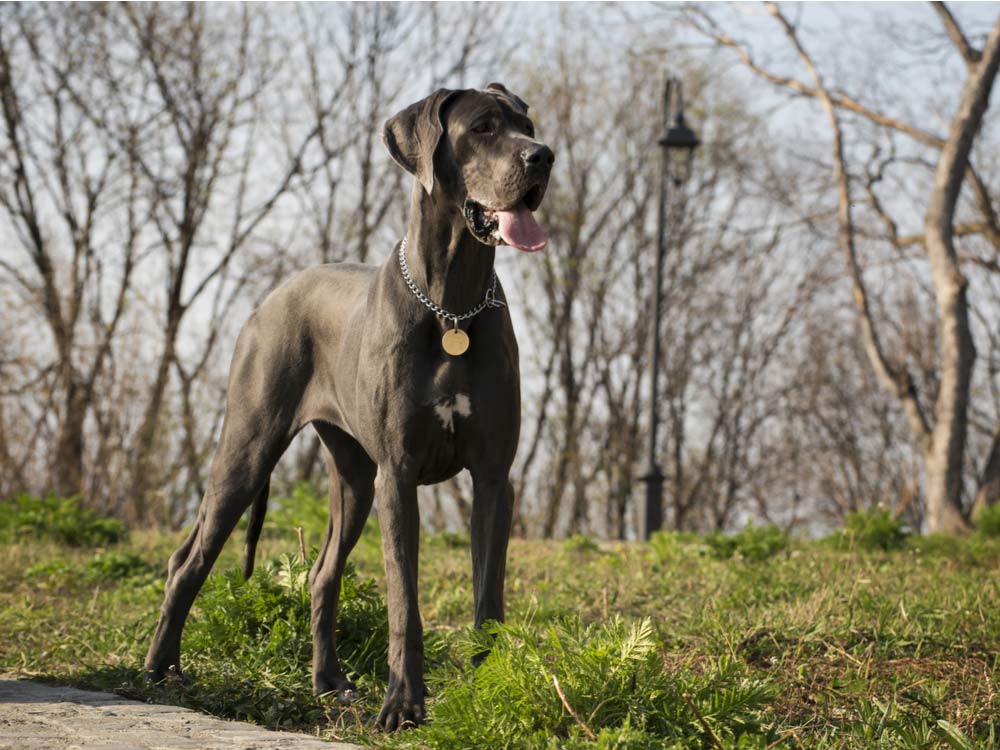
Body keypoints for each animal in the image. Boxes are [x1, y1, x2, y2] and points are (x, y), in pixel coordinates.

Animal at [143, 83, 556, 736]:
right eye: (485, 128)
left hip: (354, 479)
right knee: (188, 560)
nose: (543, 157)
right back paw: (161, 670)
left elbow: (488, 598)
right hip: (249, 449)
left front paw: (488, 689)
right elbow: (404, 600)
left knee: (320, 576)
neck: (452, 304)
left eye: (528, 126)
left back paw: (329, 682)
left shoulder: (494, 478)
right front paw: (405, 705)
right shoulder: (400, 475)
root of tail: (269, 297)